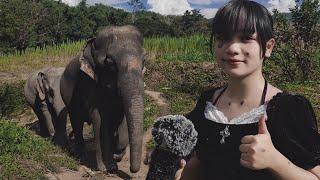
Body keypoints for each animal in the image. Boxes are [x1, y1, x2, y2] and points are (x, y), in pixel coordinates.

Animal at [60, 25, 145, 173]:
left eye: (144, 60)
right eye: (110, 63)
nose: (132, 170)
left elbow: (121, 118)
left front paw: (116, 156)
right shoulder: (89, 84)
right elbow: (99, 120)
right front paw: (104, 168)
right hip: (67, 95)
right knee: (76, 121)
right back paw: (81, 156)